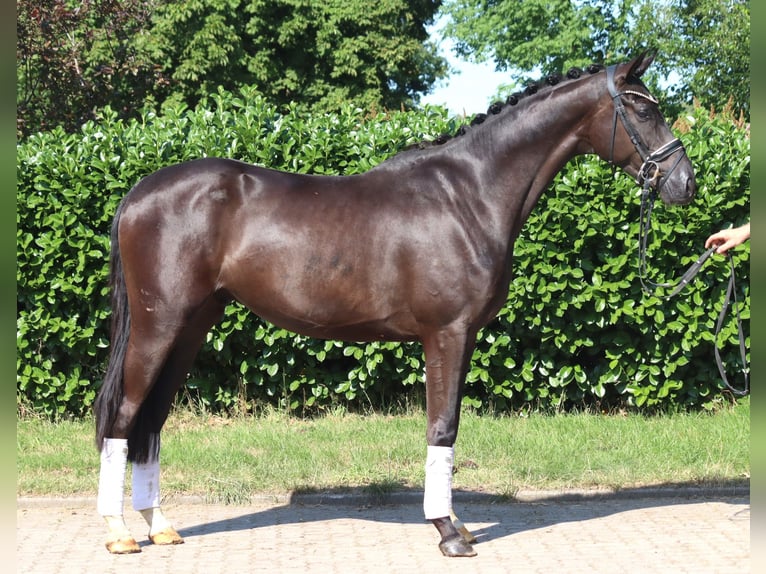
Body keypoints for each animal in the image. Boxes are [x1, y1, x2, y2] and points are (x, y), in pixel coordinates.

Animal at [93, 52, 695, 557]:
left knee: (152, 421)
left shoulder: (462, 336)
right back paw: (119, 534)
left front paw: (455, 524)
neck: (470, 195)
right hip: (158, 326)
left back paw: (160, 527)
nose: (685, 184)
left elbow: (448, 427)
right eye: (644, 108)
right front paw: (448, 532)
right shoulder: (447, 333)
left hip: (192, 326)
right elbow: (442, 426)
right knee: (124, 416)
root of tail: (138, 193)